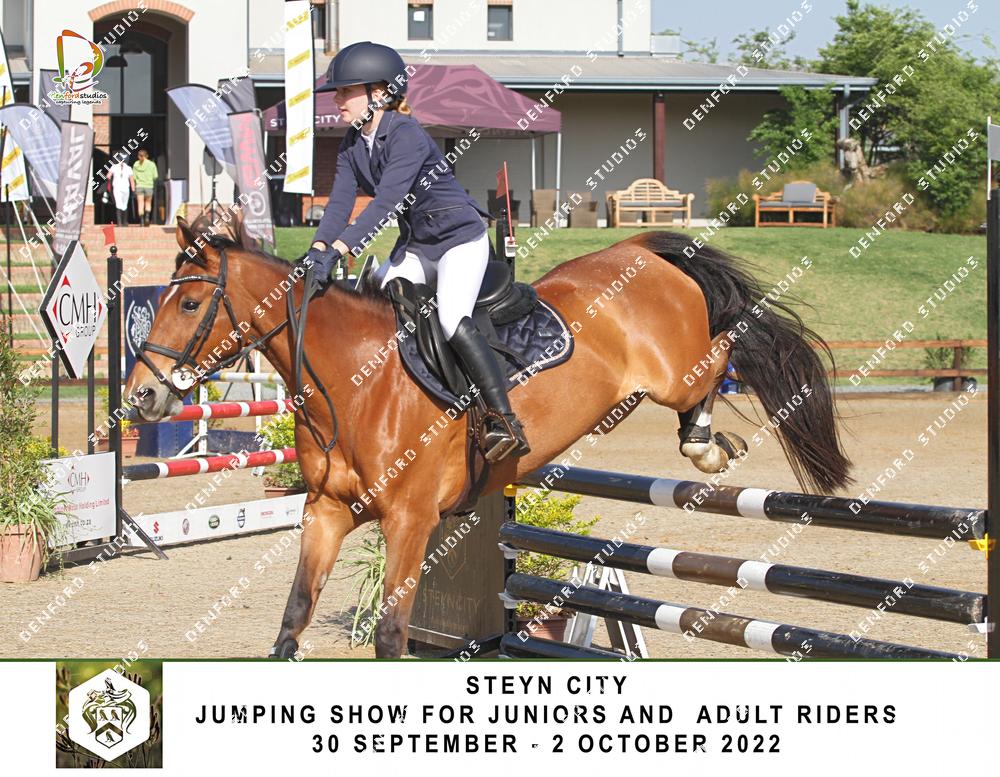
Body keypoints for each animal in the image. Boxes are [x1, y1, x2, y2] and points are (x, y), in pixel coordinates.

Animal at [124, 214, 850, 659]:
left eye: (189, 302)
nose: (141, 396)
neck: (356, 382)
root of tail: (638, 249)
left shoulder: (411, 519)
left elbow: (391, 634)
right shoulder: (326, 511)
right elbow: (293, 617)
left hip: (678, 371)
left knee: (731, 344)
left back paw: (705, 439)